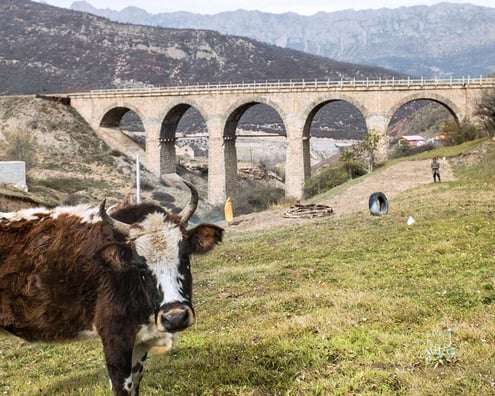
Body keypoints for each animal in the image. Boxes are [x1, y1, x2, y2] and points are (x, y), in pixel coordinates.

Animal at [0, 182, 223, 392]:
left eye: (185, 256)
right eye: (140, 265)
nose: (175, 317)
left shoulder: (138, 345)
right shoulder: (115, 338)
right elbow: (121, 386)